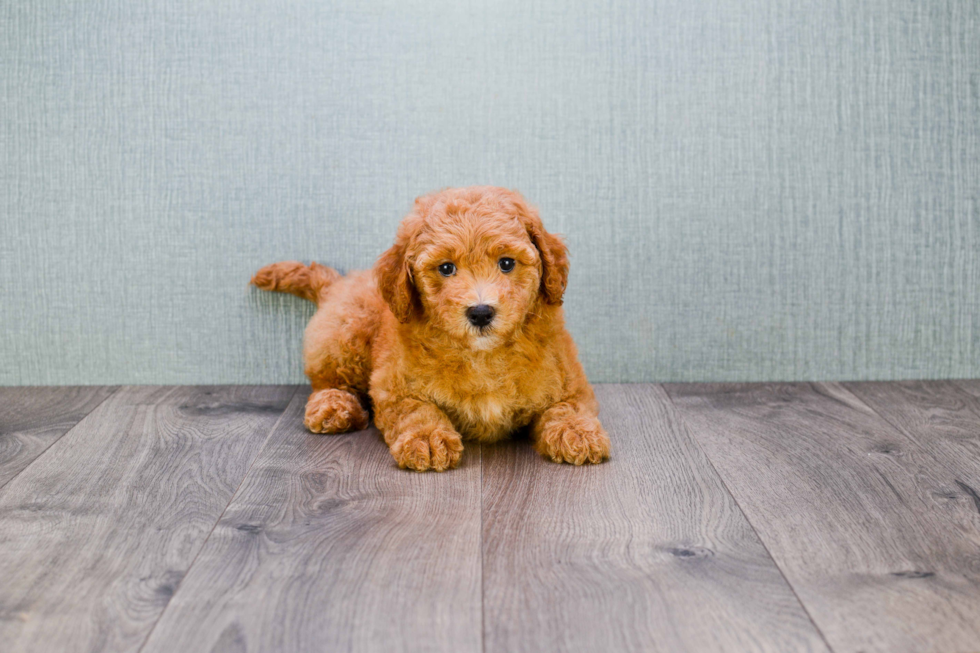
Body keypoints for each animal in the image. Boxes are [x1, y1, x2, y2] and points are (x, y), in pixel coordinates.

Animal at [251, 186, 604, 472]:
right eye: (446, 268)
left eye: (507, 263)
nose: (480, 312)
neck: (482, 354)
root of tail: (340, 282)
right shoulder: (394, 384)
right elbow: (416, 409)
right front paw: (429, 439)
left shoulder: (567, 377)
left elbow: (568, 405)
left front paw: (577, 432)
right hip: (344, 335)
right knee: (328, 380)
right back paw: (334, 406)